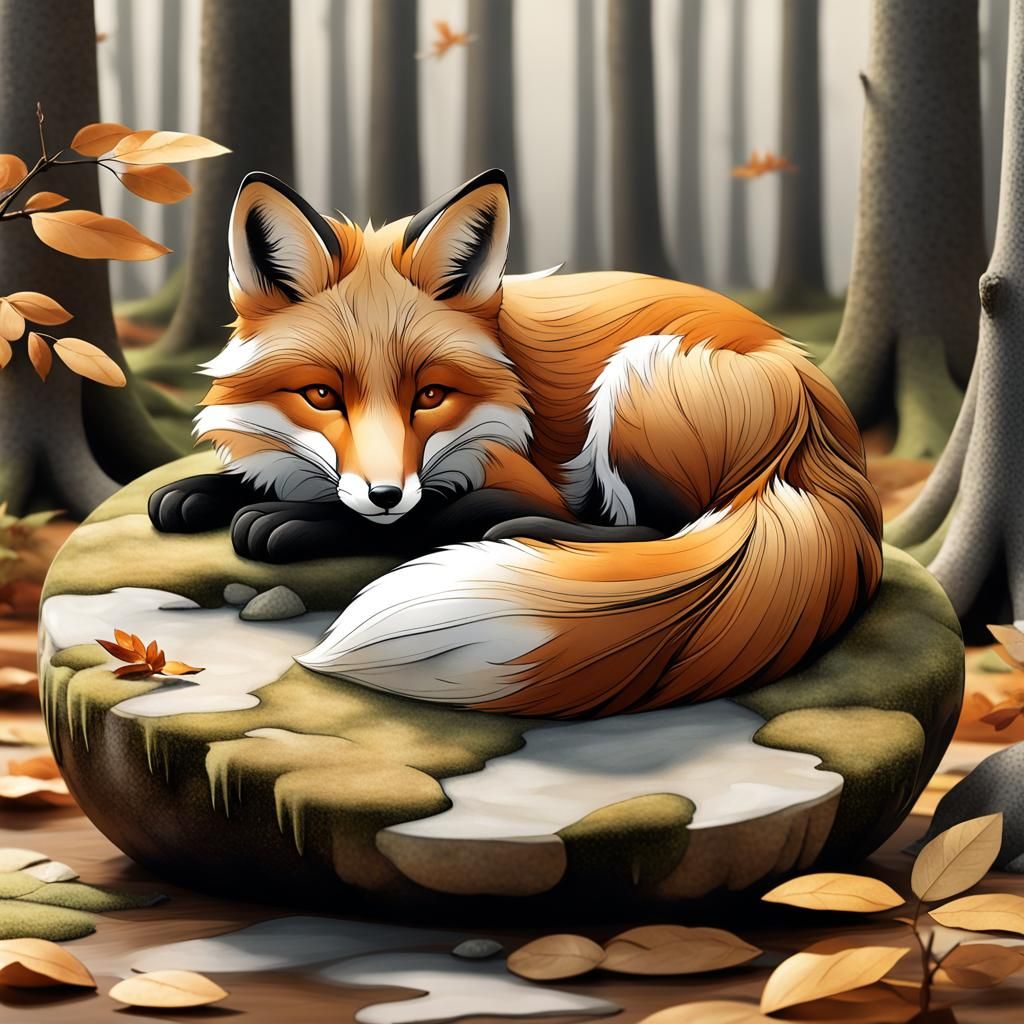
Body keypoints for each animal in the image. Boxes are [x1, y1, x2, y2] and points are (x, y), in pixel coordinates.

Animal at [149, 168, 883, 719]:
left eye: (430, 395)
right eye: (323, 396)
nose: (384, 493)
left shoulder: (506, 472)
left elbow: (412, 516)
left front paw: (289, 520)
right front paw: (196, 492)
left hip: (635, 380)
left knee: (658, 529)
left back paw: (518, 529)